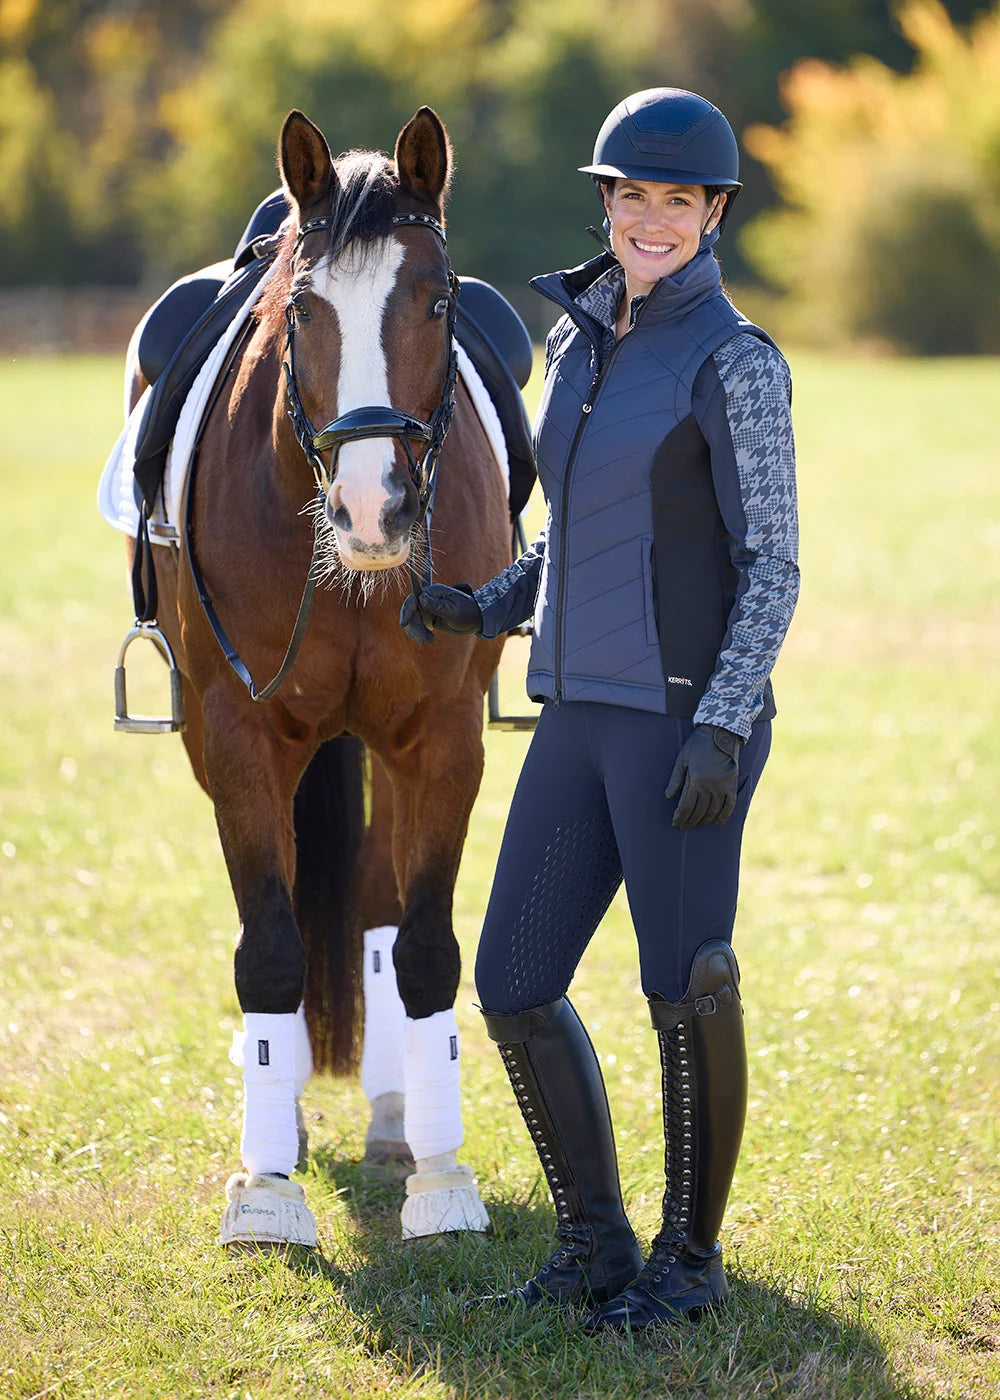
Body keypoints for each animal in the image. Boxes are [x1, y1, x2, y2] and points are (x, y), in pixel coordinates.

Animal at [122, 106, 512, 1246]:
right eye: (303, 309)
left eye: (437, 301)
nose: (373, 511)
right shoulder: (236, 737)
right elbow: (270, 946)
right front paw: (265, 1188)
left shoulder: (441, 739)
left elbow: (424, 948)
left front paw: (441, 1177)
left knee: (377, 908)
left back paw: (393, 1116)